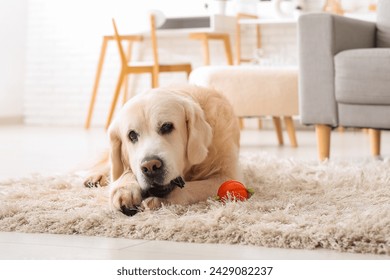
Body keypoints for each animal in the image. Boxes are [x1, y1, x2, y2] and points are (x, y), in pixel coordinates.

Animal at [84, 85, 239, 217]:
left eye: (167, 127)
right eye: (132, 135)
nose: (150, 166)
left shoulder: (227, 175)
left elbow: (195, 187)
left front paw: (159, 201)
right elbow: (125, 173)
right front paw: (125, 190)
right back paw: (95, 177)